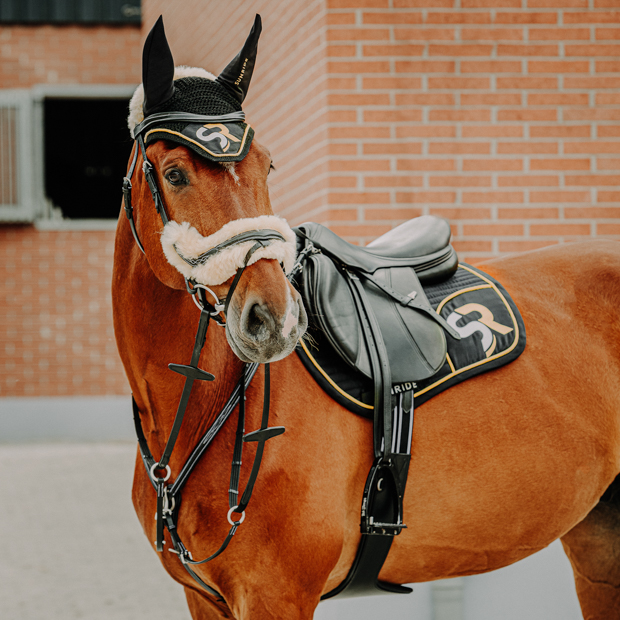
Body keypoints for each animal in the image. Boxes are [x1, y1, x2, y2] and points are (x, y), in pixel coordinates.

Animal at [112, 14, 620, 620]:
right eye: (174, 174)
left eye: (266, 164)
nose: (275, 318)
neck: (197, 410)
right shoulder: (204, 600)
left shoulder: (277, 596)